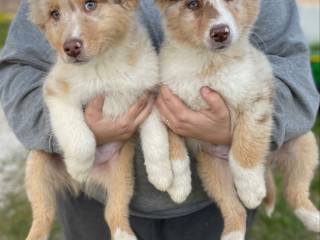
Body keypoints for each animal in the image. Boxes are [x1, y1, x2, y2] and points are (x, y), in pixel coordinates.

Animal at [153, 0, 320, 238]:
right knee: (233, 207)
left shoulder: (255, 101)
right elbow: (174, 148)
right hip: (213, 172)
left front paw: (251, 189)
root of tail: (267, 164)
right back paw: (233, 233)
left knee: (295, 192)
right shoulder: (168, 104)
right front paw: (179, 186)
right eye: (192, 4)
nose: (220, 33)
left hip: (303, 145)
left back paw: (314, 219)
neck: (208, 65)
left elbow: (246, 148)